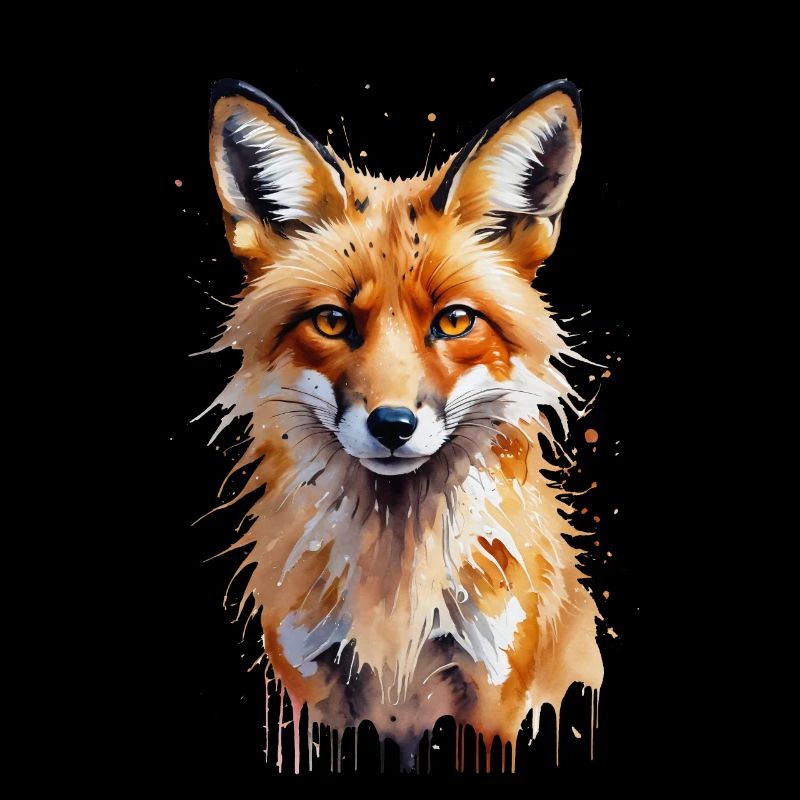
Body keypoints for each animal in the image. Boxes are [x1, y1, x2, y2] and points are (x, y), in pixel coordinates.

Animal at [204, 77, 603, 771]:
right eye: (332, 322)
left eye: (455, 321)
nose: (393, 425)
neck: (394, 596)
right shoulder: (312, 692)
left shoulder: (493, 693)